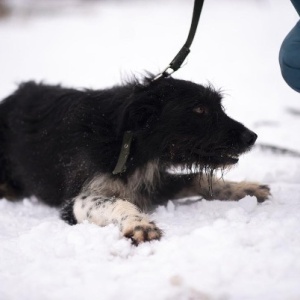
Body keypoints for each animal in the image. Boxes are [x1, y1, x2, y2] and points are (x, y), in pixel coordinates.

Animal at [0, 77, 270, 244]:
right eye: (199, 110)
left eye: (218, 107)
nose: (252, 137)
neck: (129, 143)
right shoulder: (73, 202)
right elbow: (114, 202)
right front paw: (139, 223)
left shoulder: (153, 180)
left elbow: (199, 177)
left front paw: (245, 188)